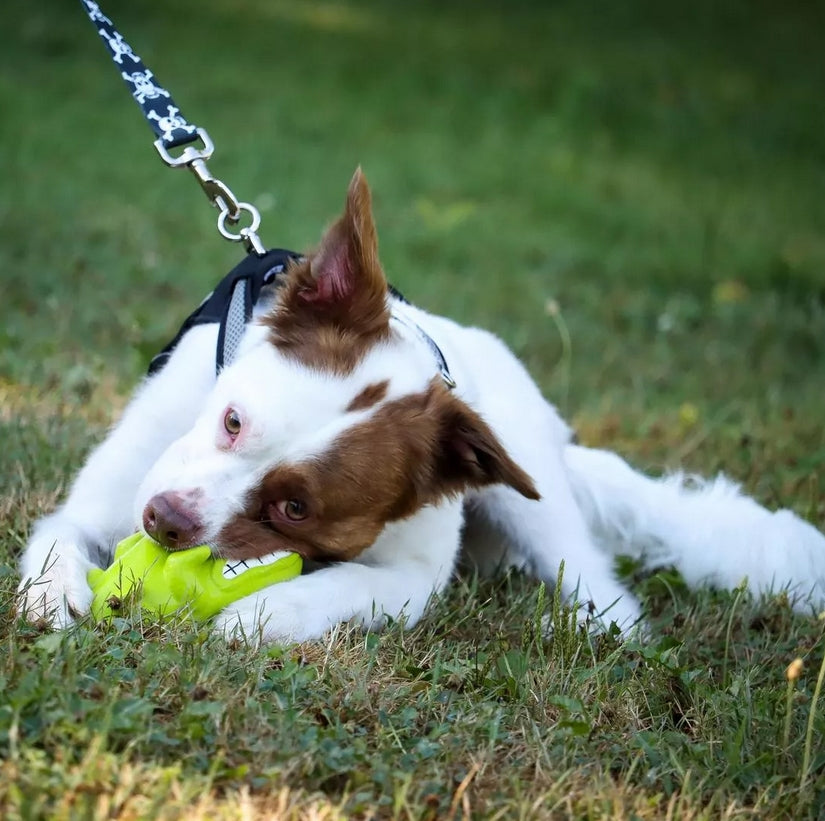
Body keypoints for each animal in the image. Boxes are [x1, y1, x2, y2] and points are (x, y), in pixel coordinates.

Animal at [16, 168, 824, 640]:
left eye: (296, 509)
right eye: (232, 420)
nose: (165, 522)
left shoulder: (412, 579)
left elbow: (339, 589)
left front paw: (253, 613)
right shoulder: (108, 496)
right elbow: (59, 537)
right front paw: (52, 596)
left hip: (535, 502)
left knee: (598, 590)